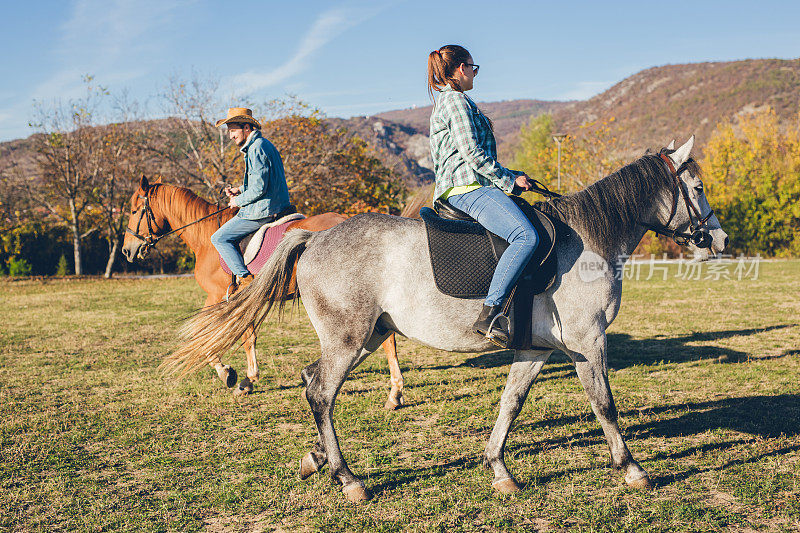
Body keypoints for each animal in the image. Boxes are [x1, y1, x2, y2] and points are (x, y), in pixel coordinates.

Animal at [120, 176, 406, 408]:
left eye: (134, 210)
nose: (126, 250)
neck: (206, 237)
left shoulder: (218, 296)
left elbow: (206, 335)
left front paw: (229, 373)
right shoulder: (243, 298)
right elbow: (247, 335)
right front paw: (247, 379)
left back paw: (393, 393)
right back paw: (393, 392)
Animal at [170, 135, 732, 500]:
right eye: (699, 187)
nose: (720, 239)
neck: (588, 240)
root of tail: (314, 236)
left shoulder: (536, 347)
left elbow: (510, 404)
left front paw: (500, 470)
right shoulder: (588, 340)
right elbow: (605, 405)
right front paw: (632, 469)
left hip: (365, 336)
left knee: (313, 382)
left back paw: (320, 461)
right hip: (349, 338)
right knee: (321, 392)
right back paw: (349, 479)